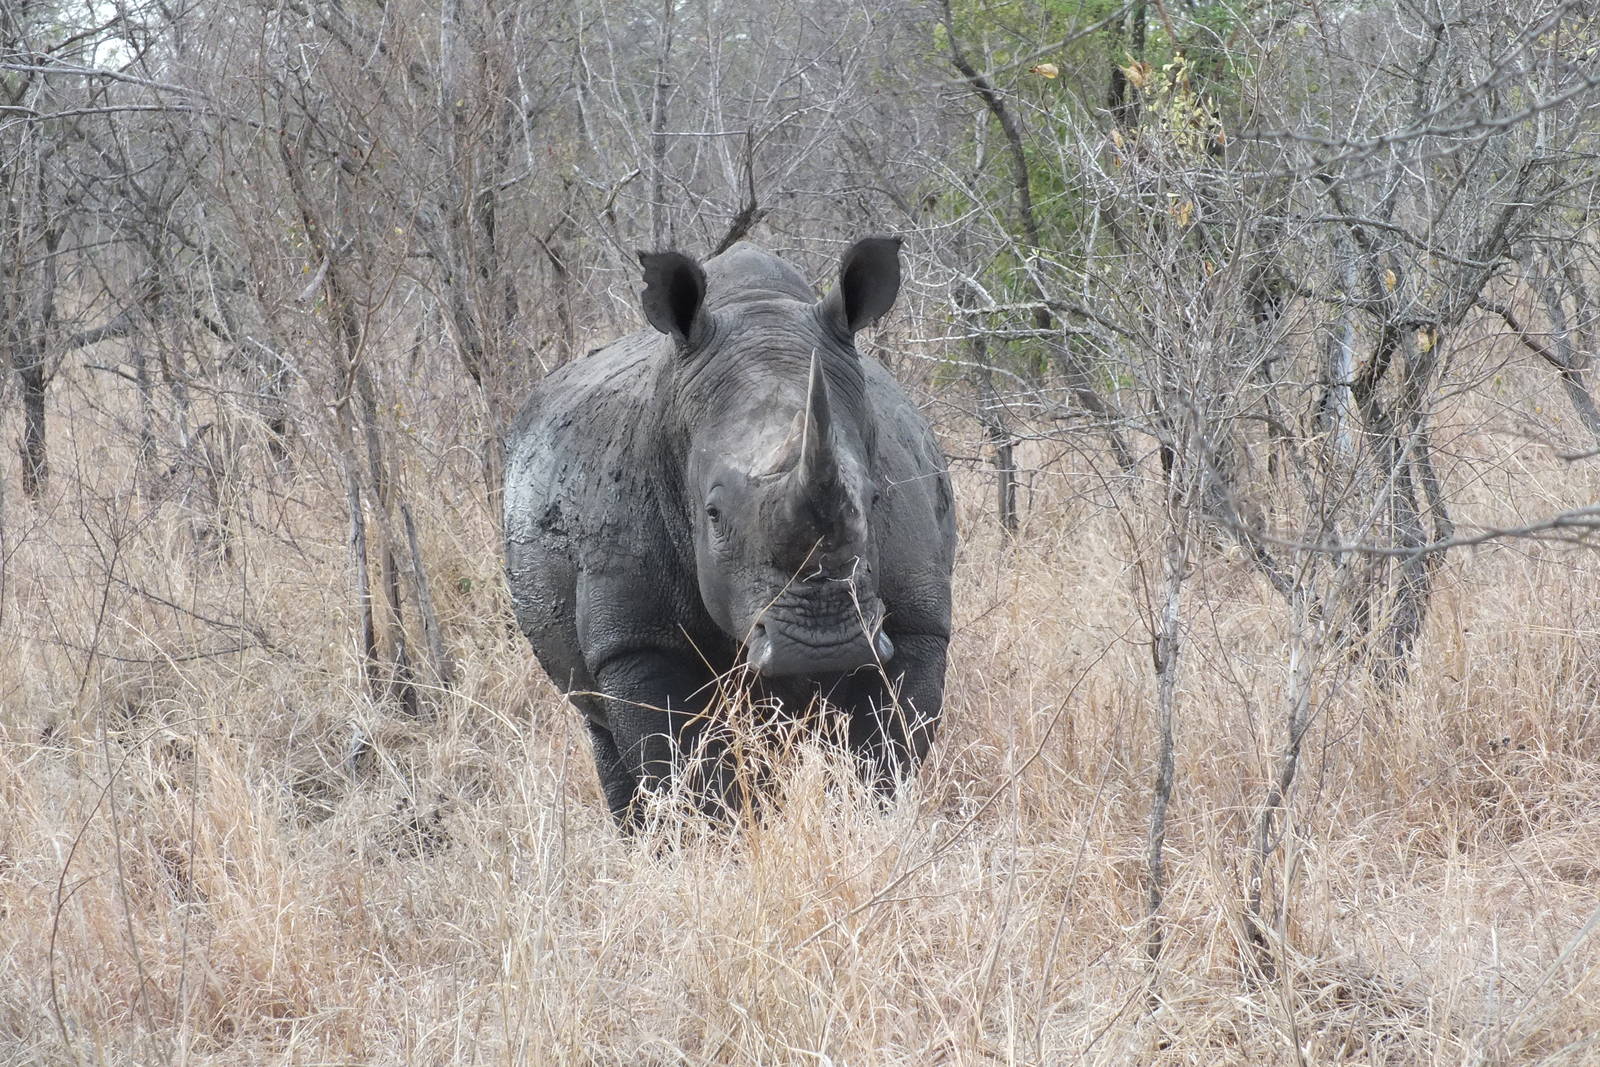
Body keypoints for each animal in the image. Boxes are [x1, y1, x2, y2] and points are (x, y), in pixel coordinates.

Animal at [503, 237, 955, 828]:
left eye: (877, 499)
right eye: (713, 514)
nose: (824, 645)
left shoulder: (916, 622)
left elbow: (886, 755)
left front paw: (862, 827)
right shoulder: (635, 641)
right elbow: (682, 772)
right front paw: (712, 843)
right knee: (604, 730)